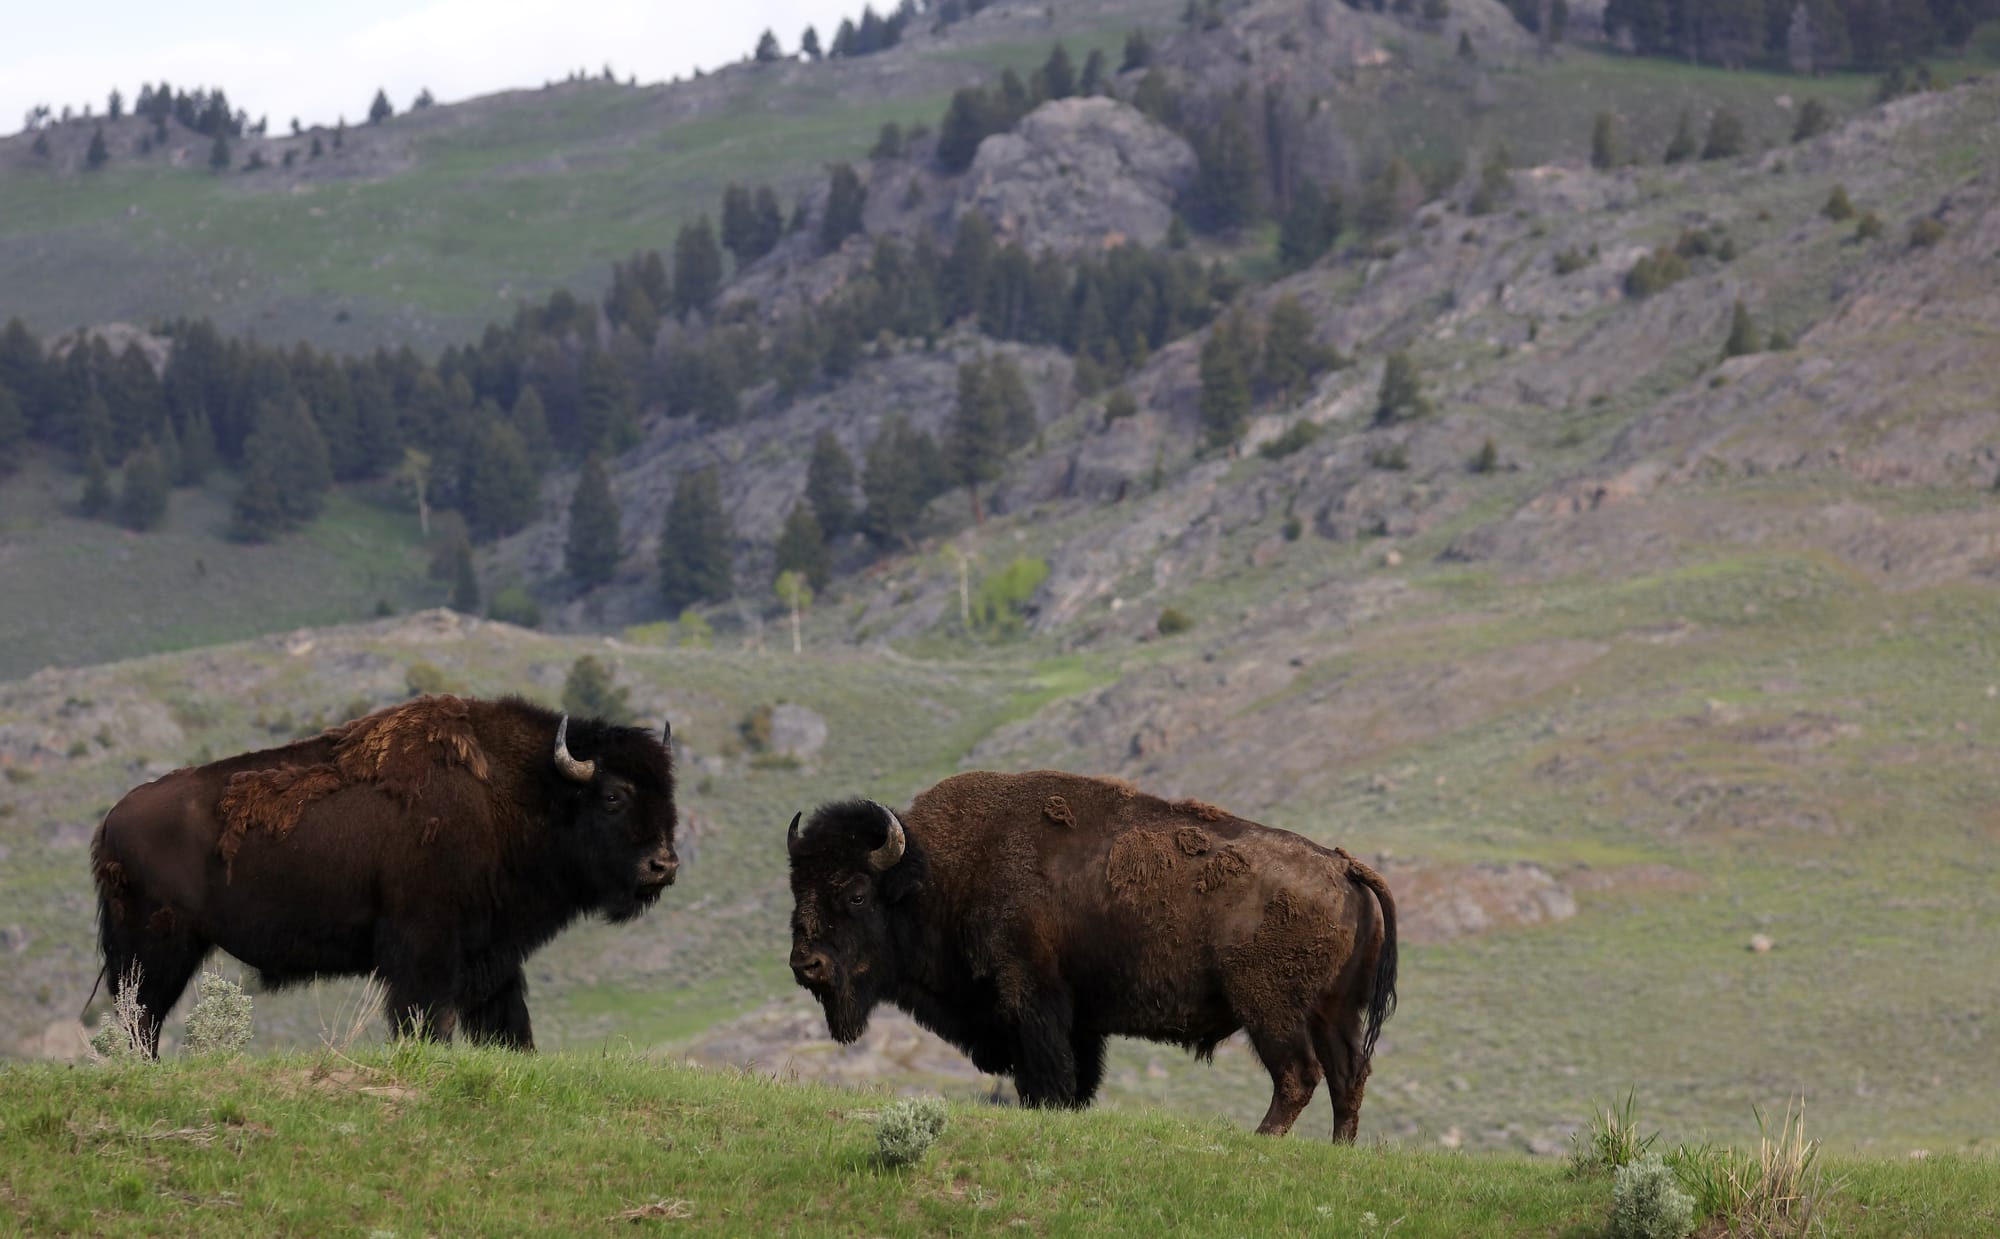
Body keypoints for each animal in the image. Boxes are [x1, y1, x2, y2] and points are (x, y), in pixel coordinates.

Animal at [88, 693, 678, 1054]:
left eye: (668, 794)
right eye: (613, 796)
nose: (663, 865)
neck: (525, 794)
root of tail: (111, 821)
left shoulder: (492, 951)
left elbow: (506, 1020)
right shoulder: (425, 946)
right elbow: (425, 1016)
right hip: (156, 951)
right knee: (141, 1017)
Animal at [784, 771, 1398, 1139]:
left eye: (856, 893)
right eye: (797, 887)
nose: (805, 964)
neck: (937, 874)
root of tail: (1342, 865)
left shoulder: (1032, 1001)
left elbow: (1048, 1078)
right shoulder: (1078, 1021)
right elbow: (1077, 1080)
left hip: (1270, 1009)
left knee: (1298, 1076)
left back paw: (1261, 1140)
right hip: (1334, 1012)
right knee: (1348, 1077)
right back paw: (1338, 1151)